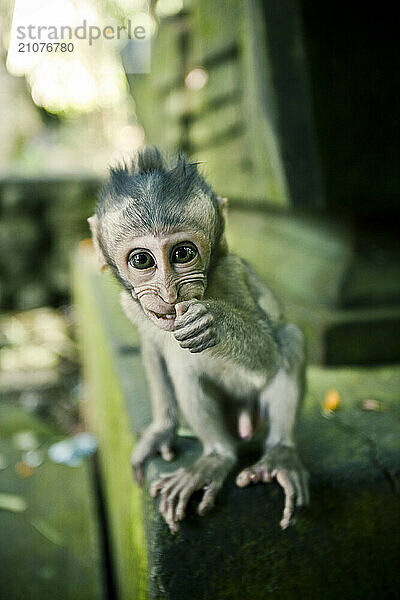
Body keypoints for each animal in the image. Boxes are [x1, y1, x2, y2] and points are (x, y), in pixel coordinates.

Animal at [89, 149, 310, 536]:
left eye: (182, 254)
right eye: (142, 260)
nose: (169, 293)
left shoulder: (230, 275)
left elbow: (268, 354)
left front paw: (213, 322)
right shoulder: (132, 305)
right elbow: (152, 349)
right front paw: (161, 431)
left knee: (288, 338)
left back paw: (278, 455)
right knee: (183, 366)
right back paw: (217, 456)